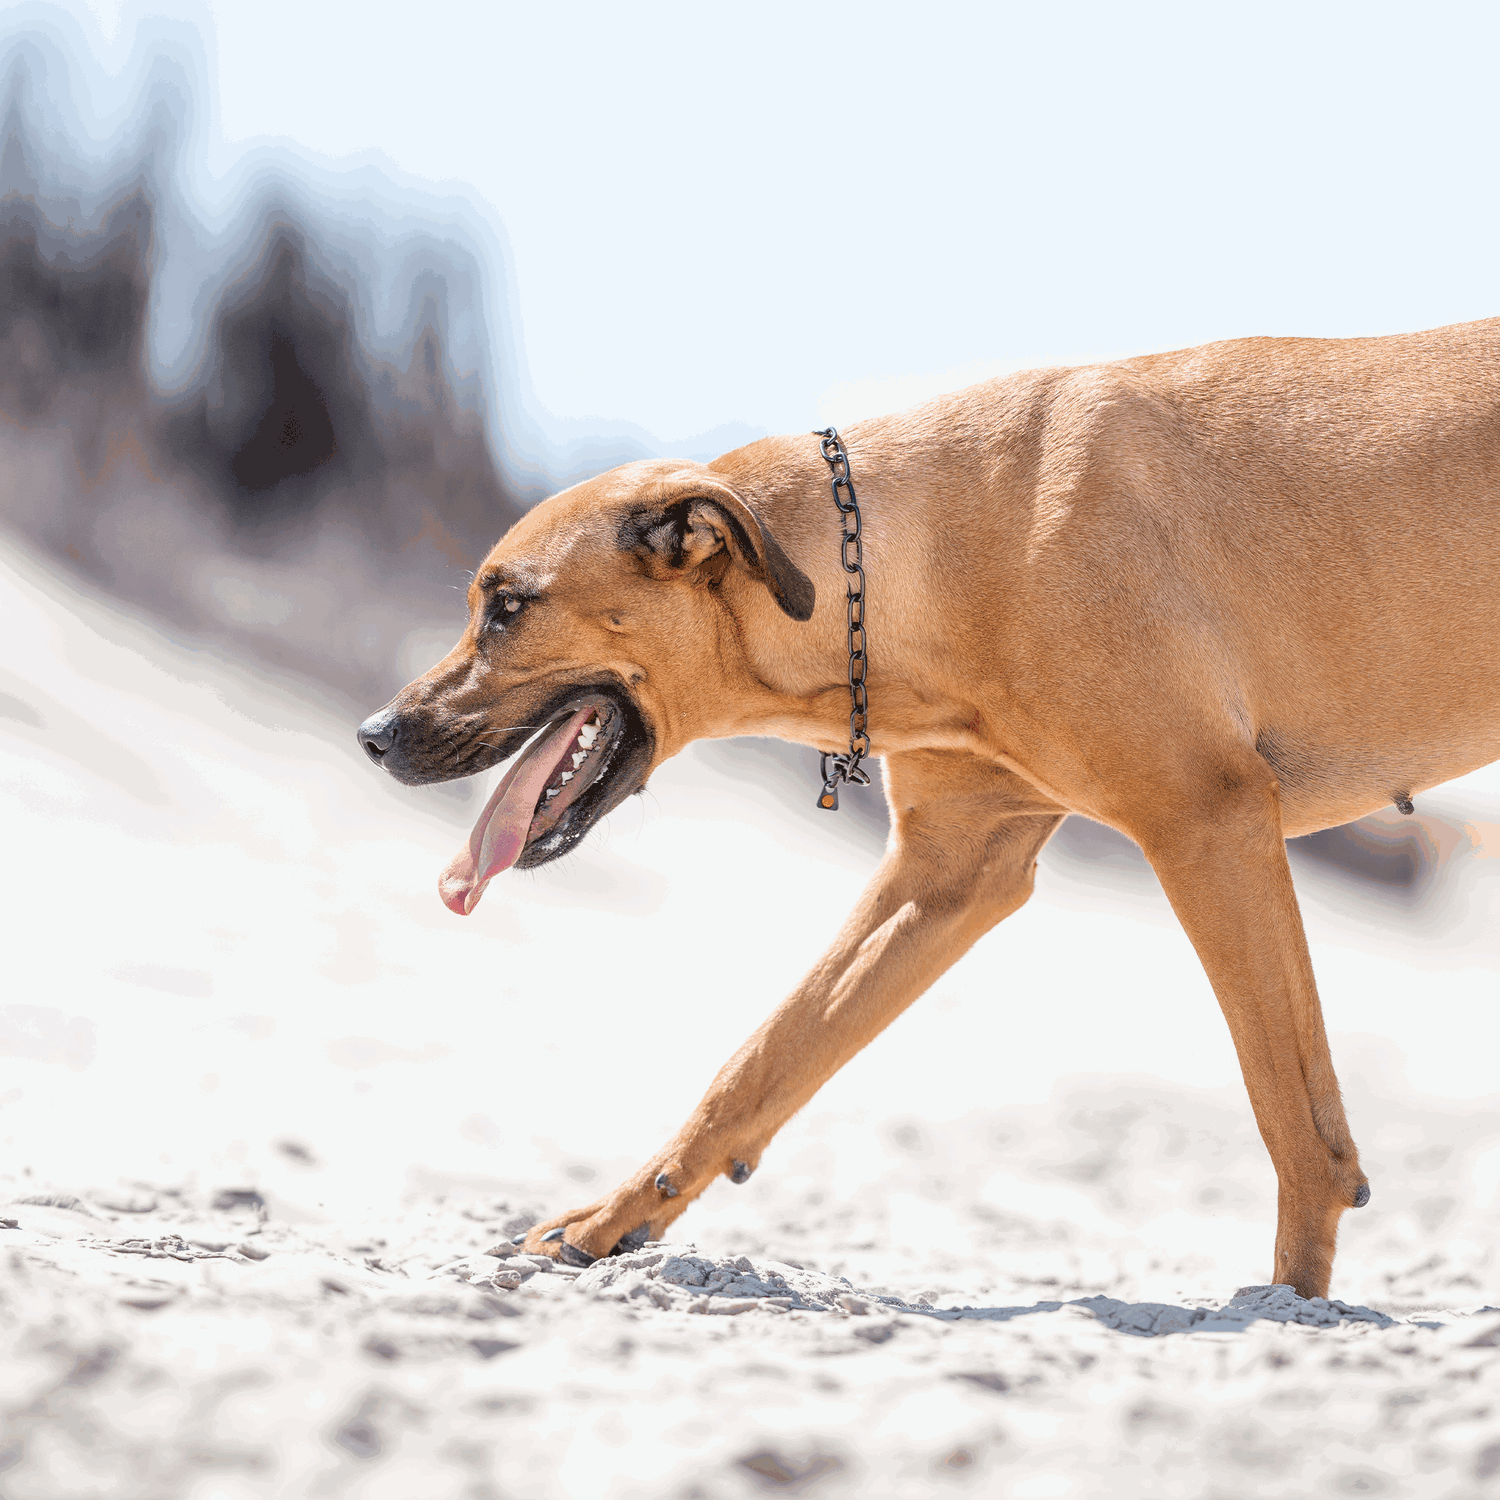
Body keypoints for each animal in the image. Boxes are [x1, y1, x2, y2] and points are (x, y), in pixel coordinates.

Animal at [354, 319, 1500, 1302]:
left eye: (509, 607)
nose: (374, 733)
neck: (916, 558)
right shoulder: (951, 872)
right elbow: (763, 1057)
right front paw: (612, 1220)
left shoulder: (1206, 820)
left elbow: (1291, 1115)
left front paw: (1291, 1302)